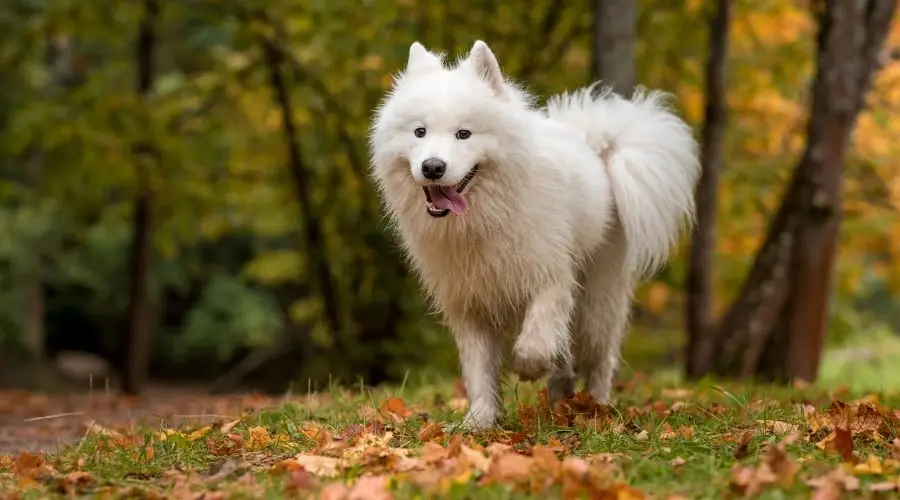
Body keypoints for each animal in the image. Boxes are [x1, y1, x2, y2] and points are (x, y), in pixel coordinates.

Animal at [368, 41, 704, 430]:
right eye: (419, 132)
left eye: (463, 134)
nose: (433, 167)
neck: (485, 220)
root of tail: (596, 150)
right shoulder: (468, 303)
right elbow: (479, 370)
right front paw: (478, 422)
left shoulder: (550, 278)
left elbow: (535, 343)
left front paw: (528, 369)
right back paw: (561, 399)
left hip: (596, 301)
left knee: (599, 359)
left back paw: (596, 406)